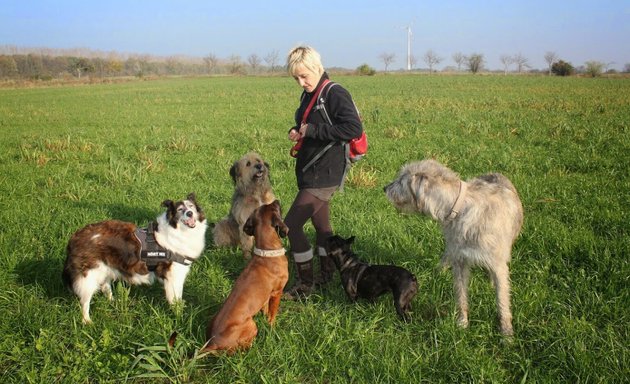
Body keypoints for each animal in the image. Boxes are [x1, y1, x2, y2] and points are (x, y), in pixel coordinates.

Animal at [204, 201, 290, 354]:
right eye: (274, 207)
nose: (276, 201)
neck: (267, 252)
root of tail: (212, 343)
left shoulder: (266, 296)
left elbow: (265, 308)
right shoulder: (276, 293)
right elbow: (272, 314)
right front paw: (272, 327)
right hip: (251, 324)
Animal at [386, 159, 524, 336]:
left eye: (401, 181)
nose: (385, 188)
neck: (461, 209)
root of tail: (495, 173)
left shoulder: (498, 264)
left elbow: (502, 299)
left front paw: (506, 333)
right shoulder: (460, 261)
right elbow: (461, 295)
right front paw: (462, 322)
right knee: (447, 255)